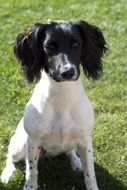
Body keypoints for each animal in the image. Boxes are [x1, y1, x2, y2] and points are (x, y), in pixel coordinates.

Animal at [0, 20, 107, 189]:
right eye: (50, 45)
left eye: (75, 43)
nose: (67, 72)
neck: (62, 96)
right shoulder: (33, 141)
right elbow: (31, 172)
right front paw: (29, 185)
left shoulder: (85, 140)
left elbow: (90, 174)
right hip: (20, 145)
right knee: (11, 155)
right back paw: (7, 173)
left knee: (70, 151)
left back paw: (76, 162)